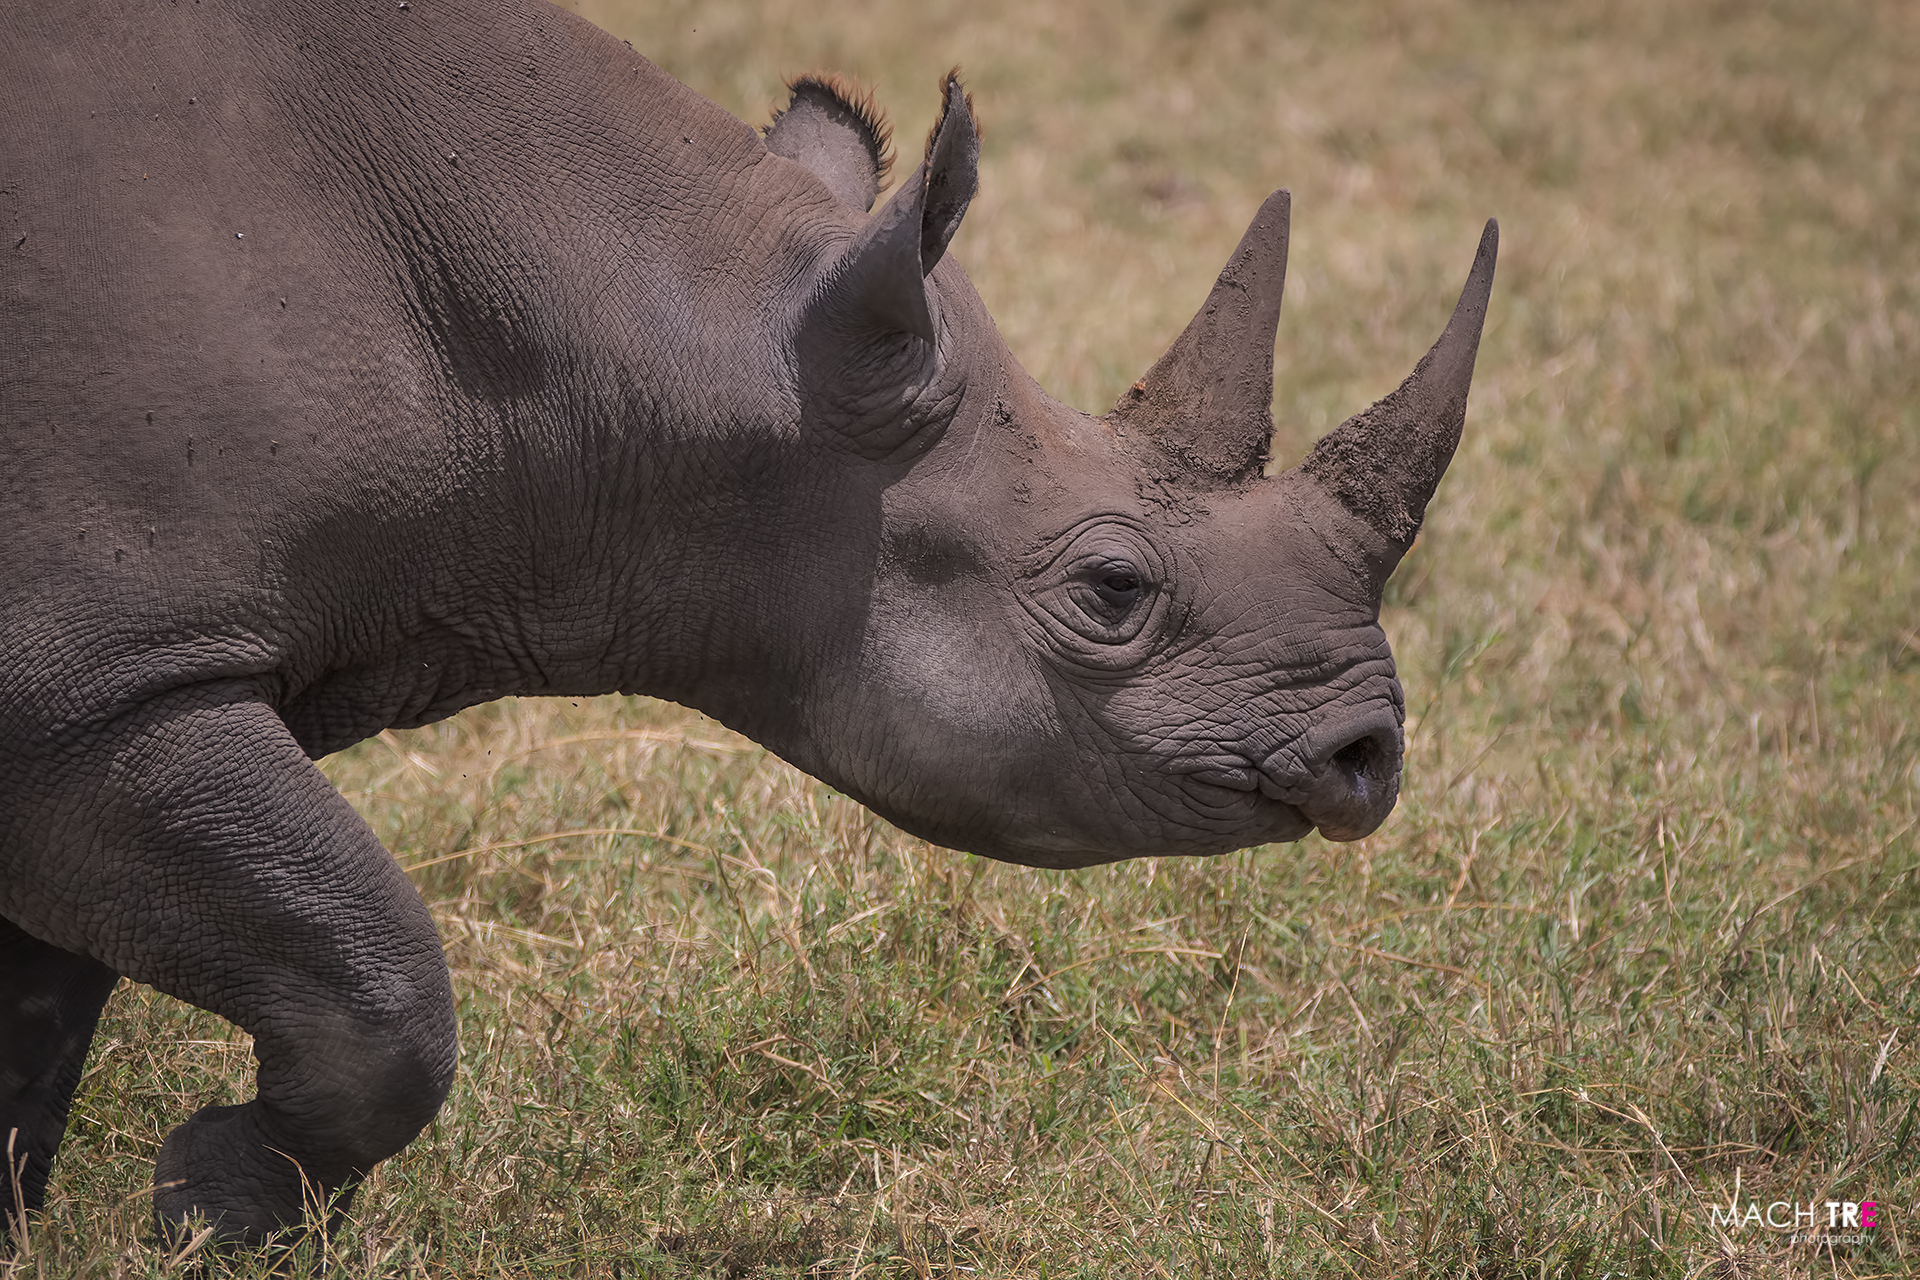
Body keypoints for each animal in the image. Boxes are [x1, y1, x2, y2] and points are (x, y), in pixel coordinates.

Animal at [0, 0, 1496, 1247]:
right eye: (1111, 593)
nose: (1369, 752)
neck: (668, 337)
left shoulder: (90, 690)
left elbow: (40, 1018)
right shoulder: (96, 686)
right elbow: (380, 983)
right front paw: (213, 1211)